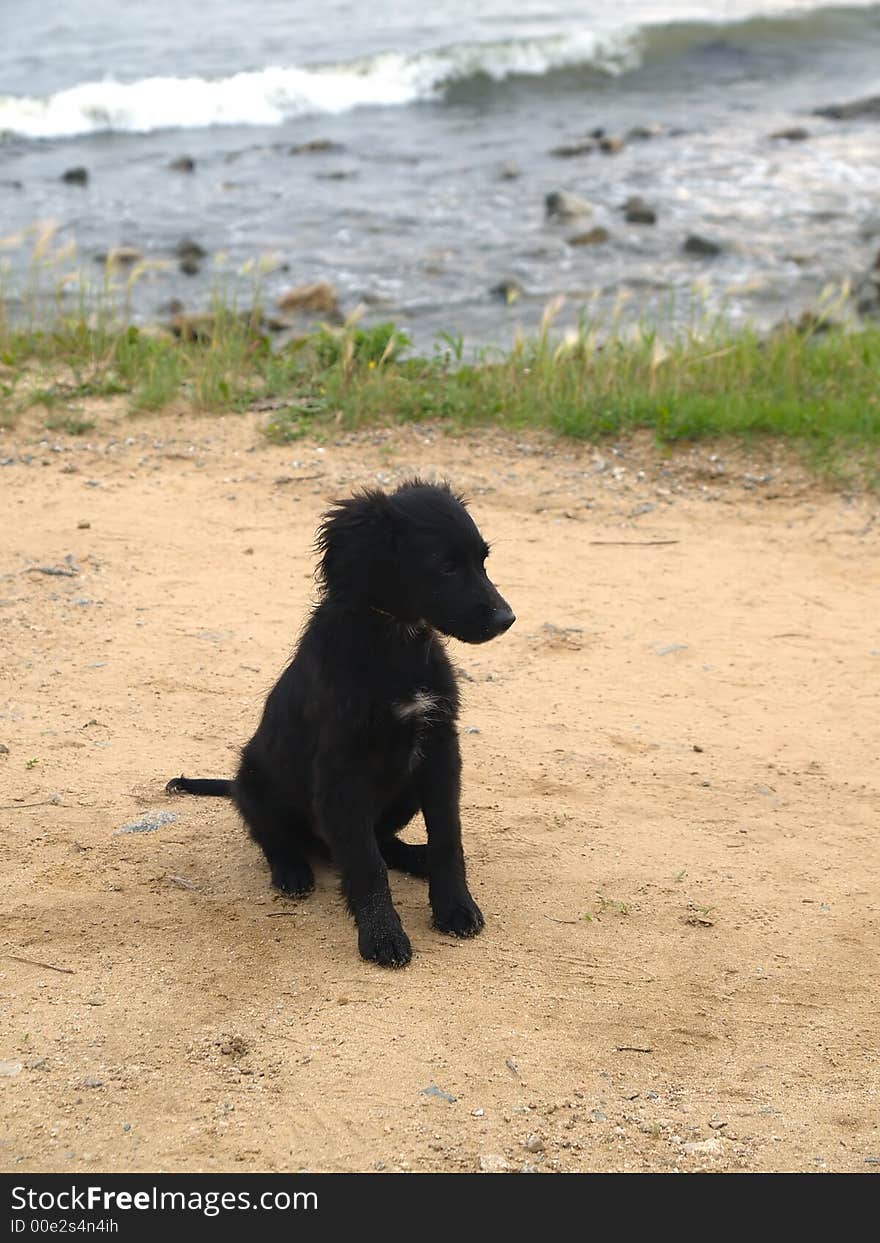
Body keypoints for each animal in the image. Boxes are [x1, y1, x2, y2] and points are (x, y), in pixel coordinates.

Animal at [165, 479, 514, 964]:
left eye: (482, 561)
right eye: (445, 565)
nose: (507, 619)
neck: (394, 645)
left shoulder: (440, 750)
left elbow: (447, 839)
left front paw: (456, 907)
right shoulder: (342, 771)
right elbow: (366, 865)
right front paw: (382, 935)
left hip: (405, 787)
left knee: (381, 841)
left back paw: (415, 857)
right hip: (253, 783)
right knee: (277, 839)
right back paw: (292, 872)